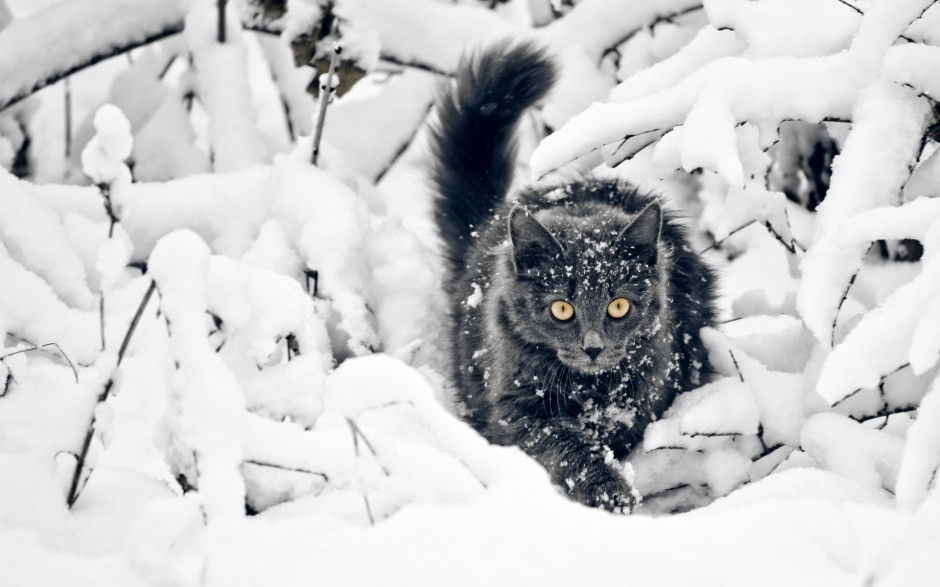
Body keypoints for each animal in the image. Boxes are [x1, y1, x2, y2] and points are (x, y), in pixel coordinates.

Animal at [432, 41, 720, 512]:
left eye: (619, 306)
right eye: (561, 309)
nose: (593, 347)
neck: (592, 391)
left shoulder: (650, 390)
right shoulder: (516, 410)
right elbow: (568, 446)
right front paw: (610, 493)